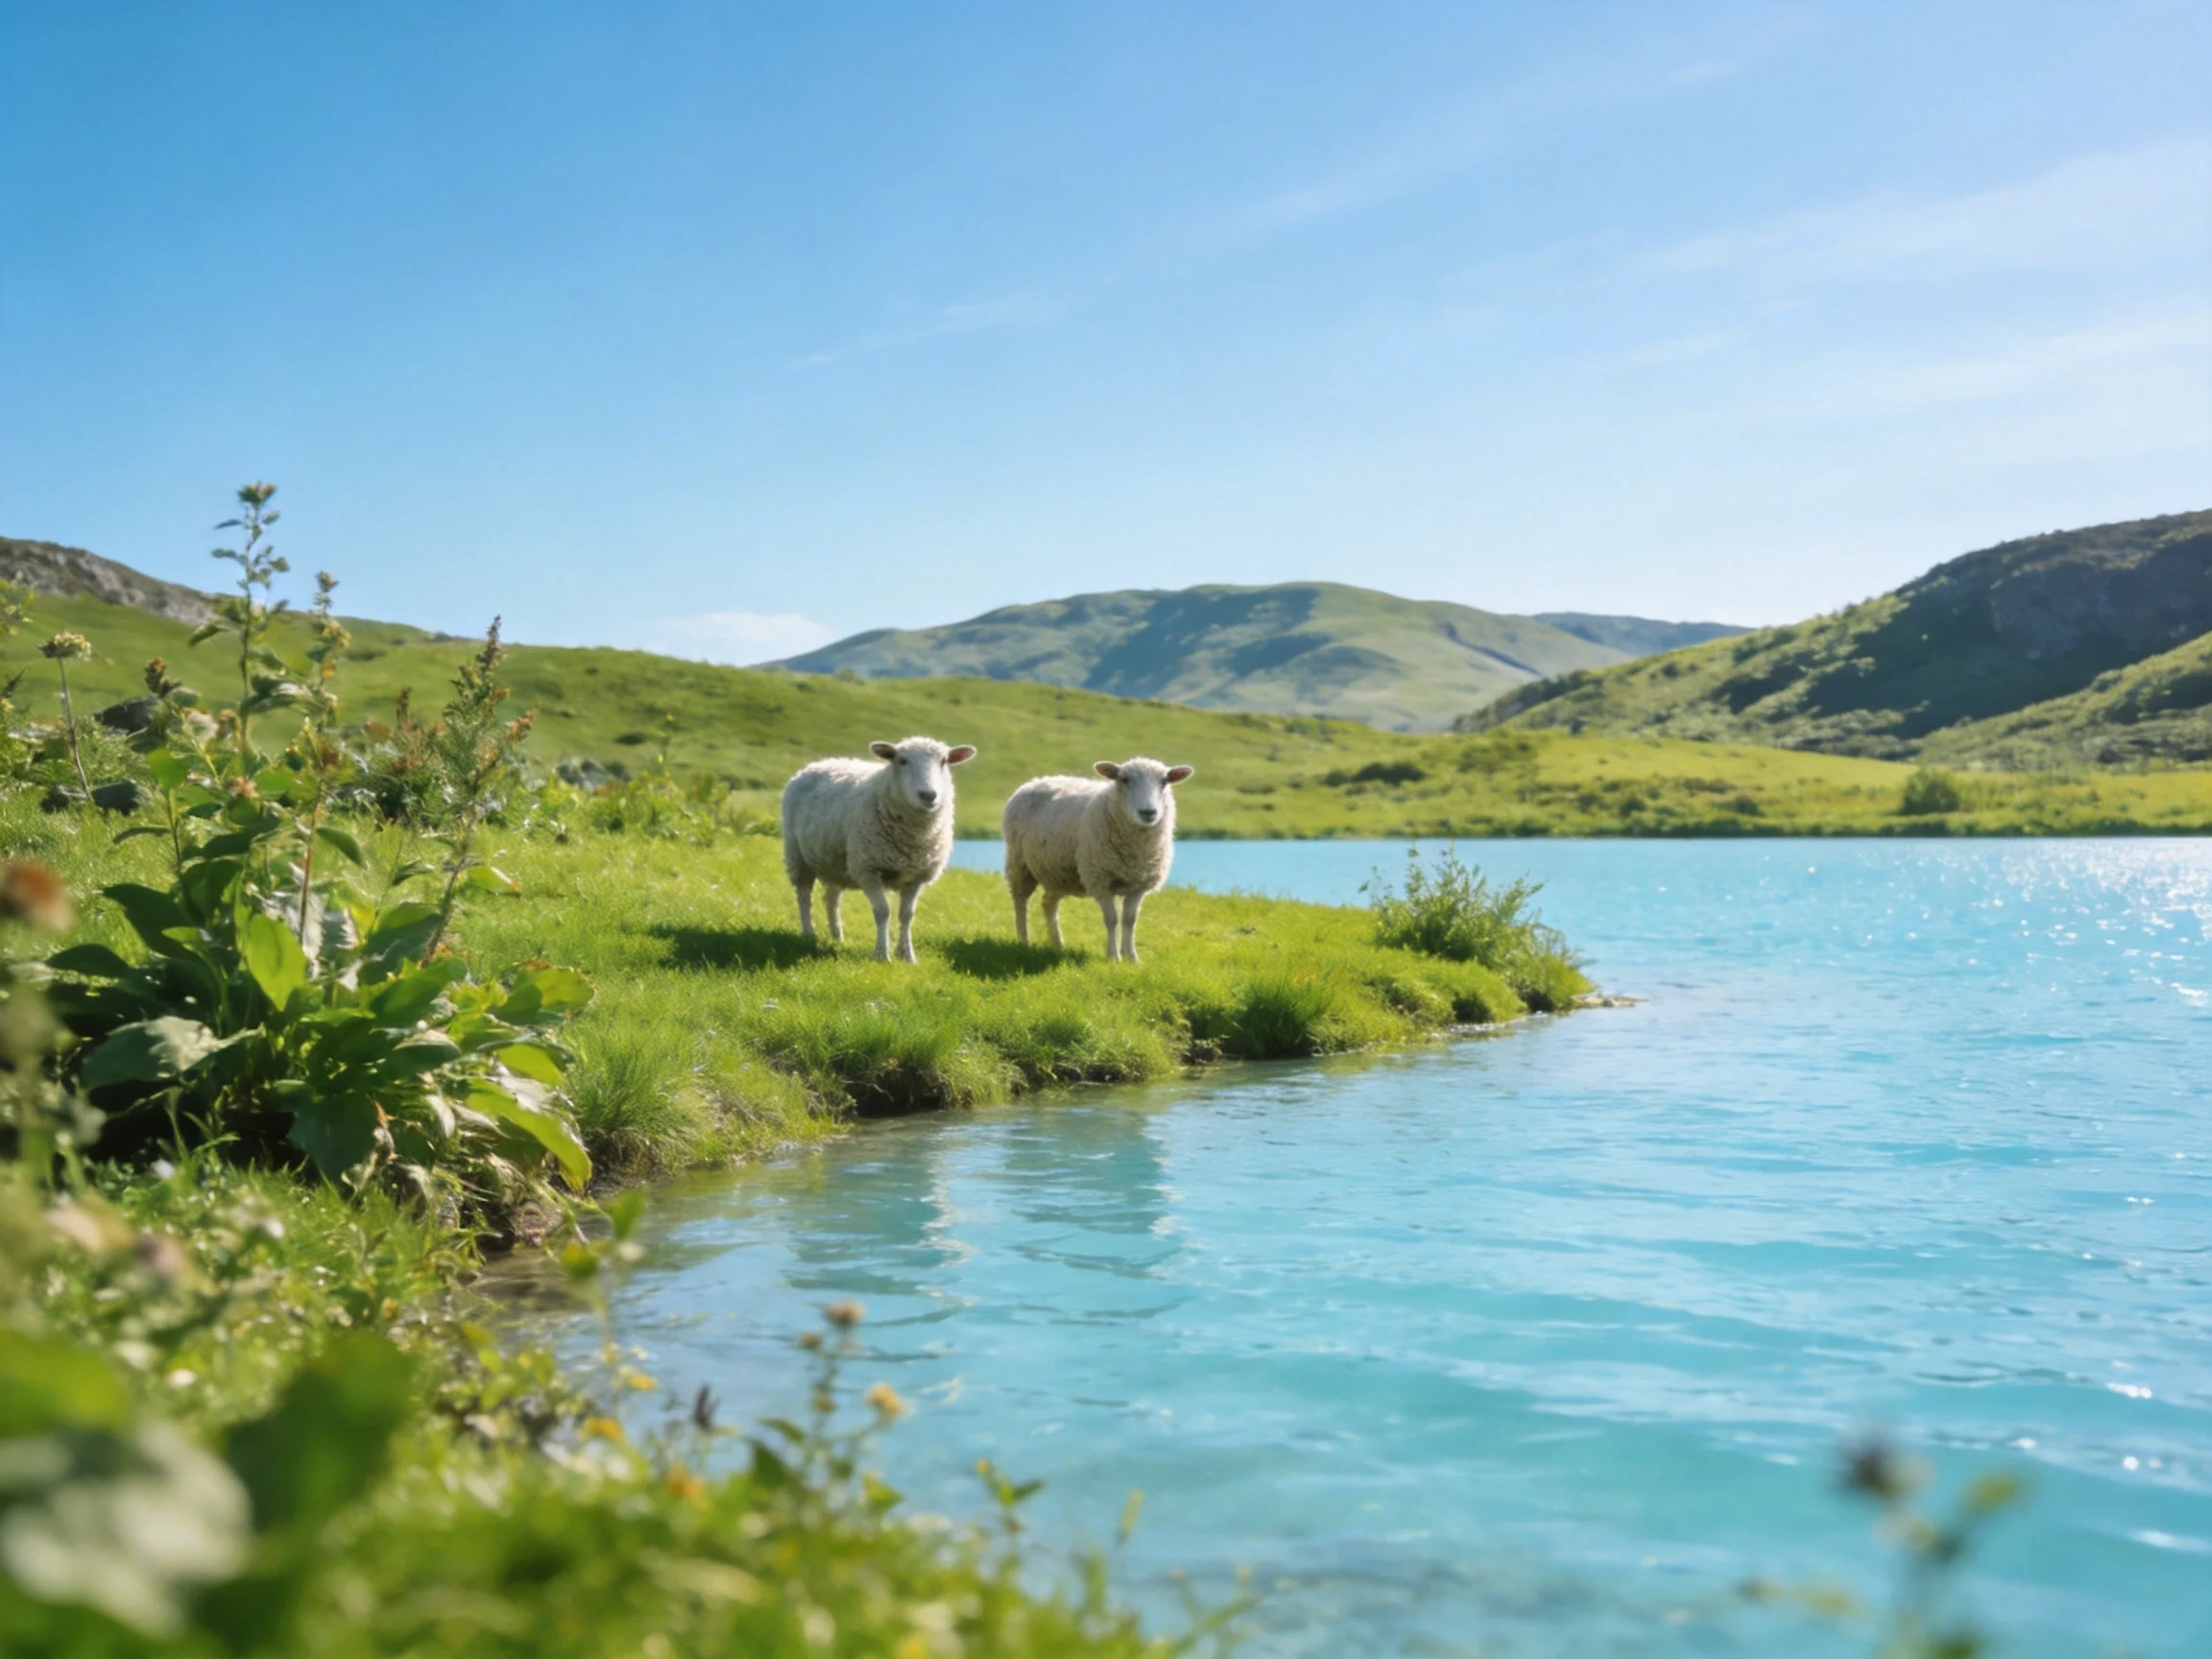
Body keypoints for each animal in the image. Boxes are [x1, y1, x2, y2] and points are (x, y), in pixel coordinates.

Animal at [782, 735, 976, 962]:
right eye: (902, 761)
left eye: (944, 761)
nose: (928, 795)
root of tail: (819, 763)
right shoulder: (868, 869)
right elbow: (883, 911)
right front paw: (882, 954)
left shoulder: (917, 875)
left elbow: (906, 915)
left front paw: (907, 955)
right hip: (797, 855)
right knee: (804, 896)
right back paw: (808, 933)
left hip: (834, 859)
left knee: (832, 898)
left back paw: (837, 935)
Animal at [1002, 757, 1194, 963]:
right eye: (1124, 779)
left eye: (1164, 781)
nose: (1148, 812)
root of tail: (1037, 780)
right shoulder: (1100, 880)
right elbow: (1111, 919)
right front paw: (1113, 957)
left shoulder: (1138, 885)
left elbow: (1129, 920)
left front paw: (1131, 958)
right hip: (1019, 863)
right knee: (1020, 902)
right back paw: (1023, 940)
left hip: (1058, 874)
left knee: (1048, 904)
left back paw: (1057, 943)